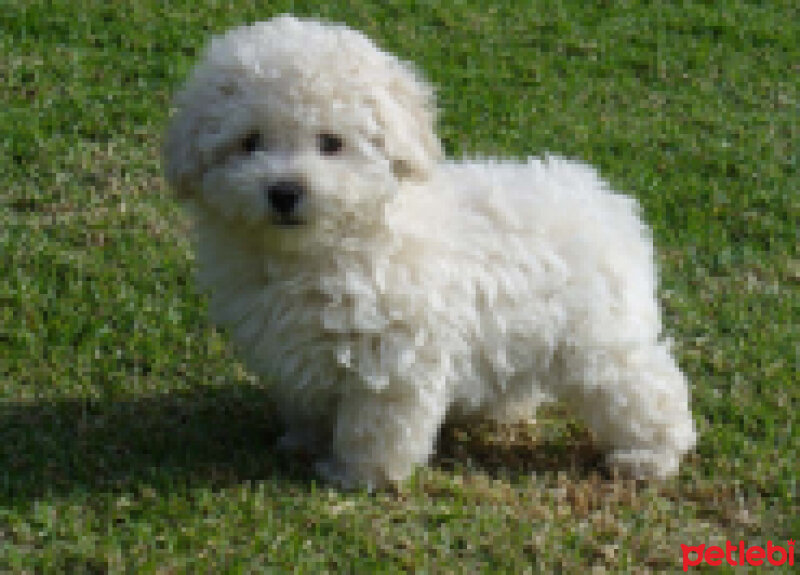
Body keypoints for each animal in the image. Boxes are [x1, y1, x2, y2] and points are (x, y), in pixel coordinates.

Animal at [162, 15, 692, 488]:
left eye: (331, 143)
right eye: (249, 142)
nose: (284, 191)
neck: (319, 248)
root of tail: (606, 202)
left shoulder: (393, 353)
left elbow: (375, 422)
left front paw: (358, 476)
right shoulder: (296, 347)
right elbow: (310, 398)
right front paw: (302, 444)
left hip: (598, 337)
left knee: (644, 387)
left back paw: (649, 457)